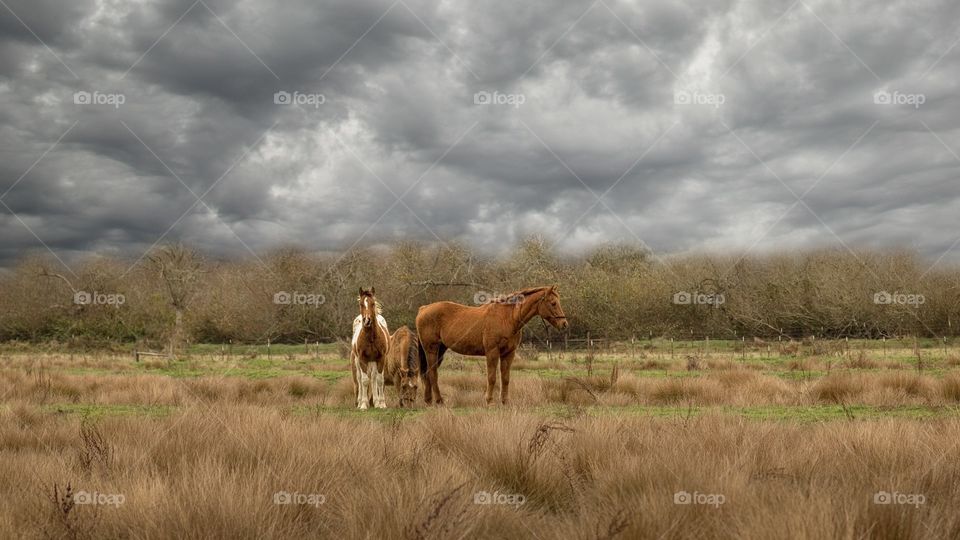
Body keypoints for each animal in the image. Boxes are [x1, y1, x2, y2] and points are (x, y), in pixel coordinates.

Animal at [414, 286, 568, 404]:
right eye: (553, 303)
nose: (564, 324)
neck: (507, 318)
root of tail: (423, 309)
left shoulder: (509, 353)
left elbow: (505, 378)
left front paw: (505, 401)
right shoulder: (492, 352)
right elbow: (492, 377)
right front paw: (489, 401)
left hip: (440, 350)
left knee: (428, 374)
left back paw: (428, 400)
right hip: (431, 349)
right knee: (432, 373)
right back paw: (439, 400)